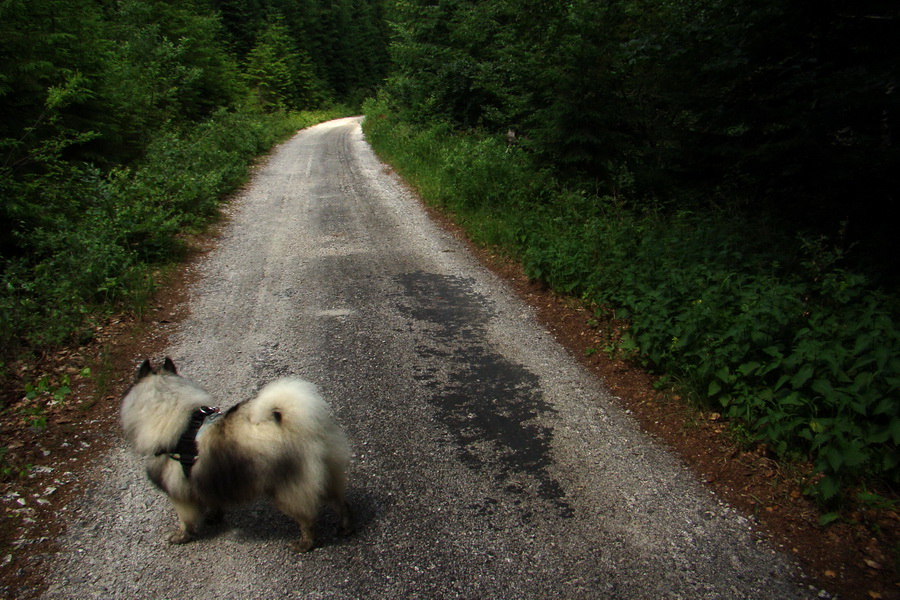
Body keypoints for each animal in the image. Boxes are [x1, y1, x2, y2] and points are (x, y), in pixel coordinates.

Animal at [121, 358, 354, 552]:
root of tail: (301, 425)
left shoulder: (179, 493)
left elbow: (185, 520)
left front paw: (182, 536)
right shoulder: (208, 480)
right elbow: (212, 500)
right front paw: (214, 516)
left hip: (286, 490)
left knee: (308, 519)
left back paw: (304, 544)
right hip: (328, 475)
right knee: (340, 503)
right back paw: (344, 527)